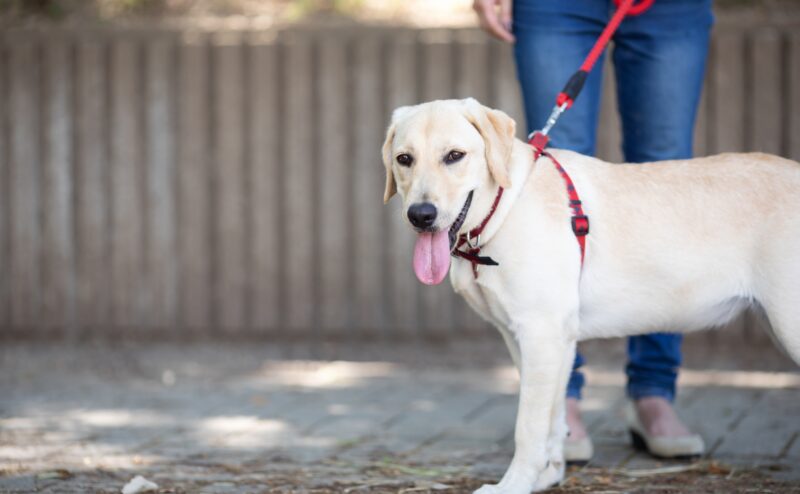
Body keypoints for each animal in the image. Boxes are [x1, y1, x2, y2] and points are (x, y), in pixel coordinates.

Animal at [380, 98, 800, 492]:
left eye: (454, 155)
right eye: (404, 159)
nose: (420, 215)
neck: (503, 209)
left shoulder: (540, 335)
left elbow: (528, 426)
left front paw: (513, 485)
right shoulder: (544, 342)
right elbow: (553, 419)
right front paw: (547, 475)